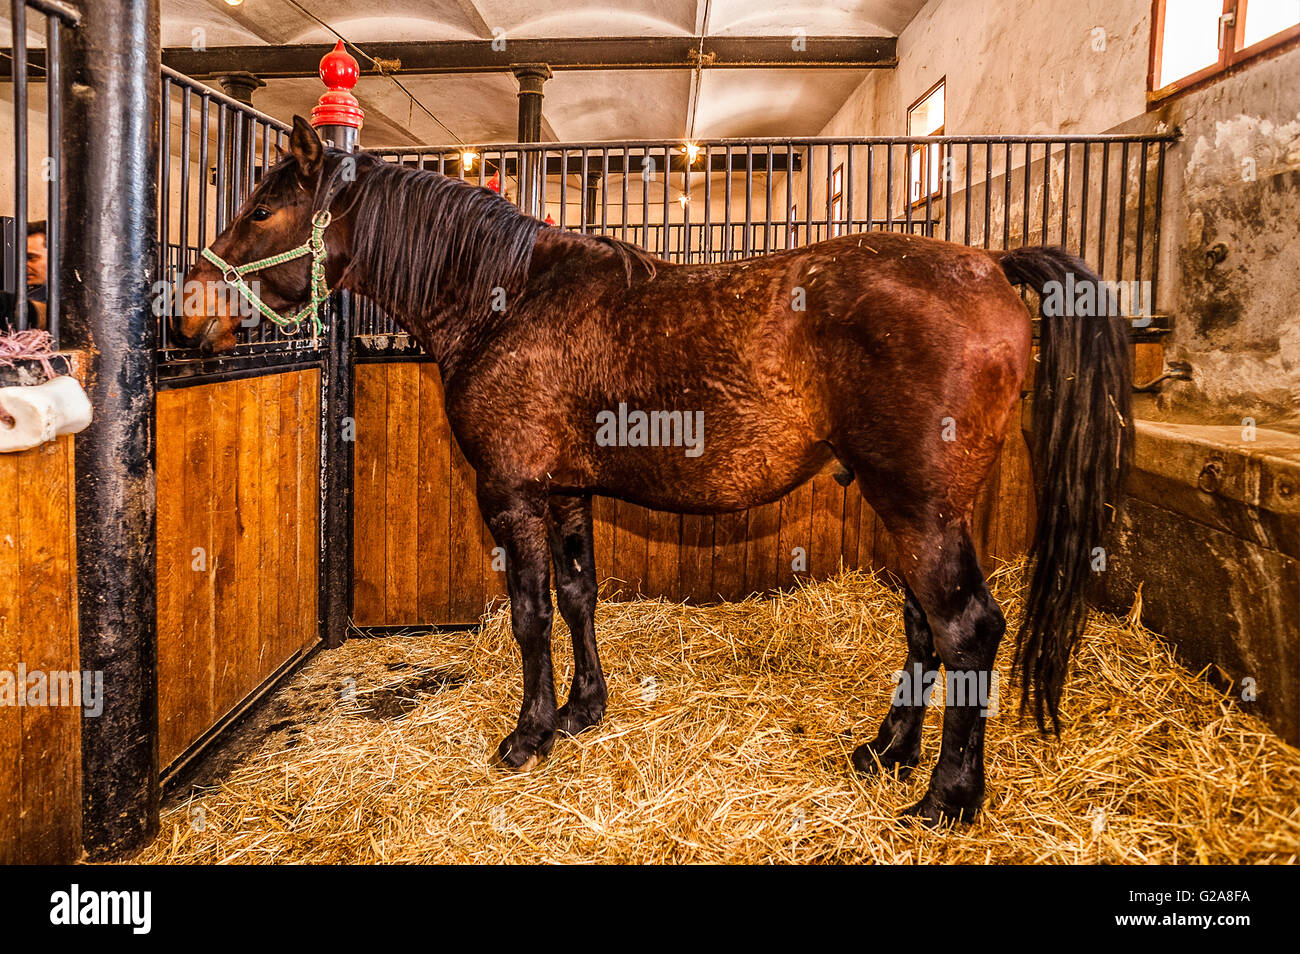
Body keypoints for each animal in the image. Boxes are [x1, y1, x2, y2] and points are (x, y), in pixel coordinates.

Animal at [178, 115, 1133, 826]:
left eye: (261, 210)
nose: (186, 312)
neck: (505, 301)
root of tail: (988, 264)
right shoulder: (566, 493)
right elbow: (578, 598)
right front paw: (581, 711)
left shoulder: (513, 494)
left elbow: (530, 615)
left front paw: (528, 736)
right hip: (913, 509)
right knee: (924, 627)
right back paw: (886, 752)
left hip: (921, 508)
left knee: (966, 628)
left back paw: (947, 797)